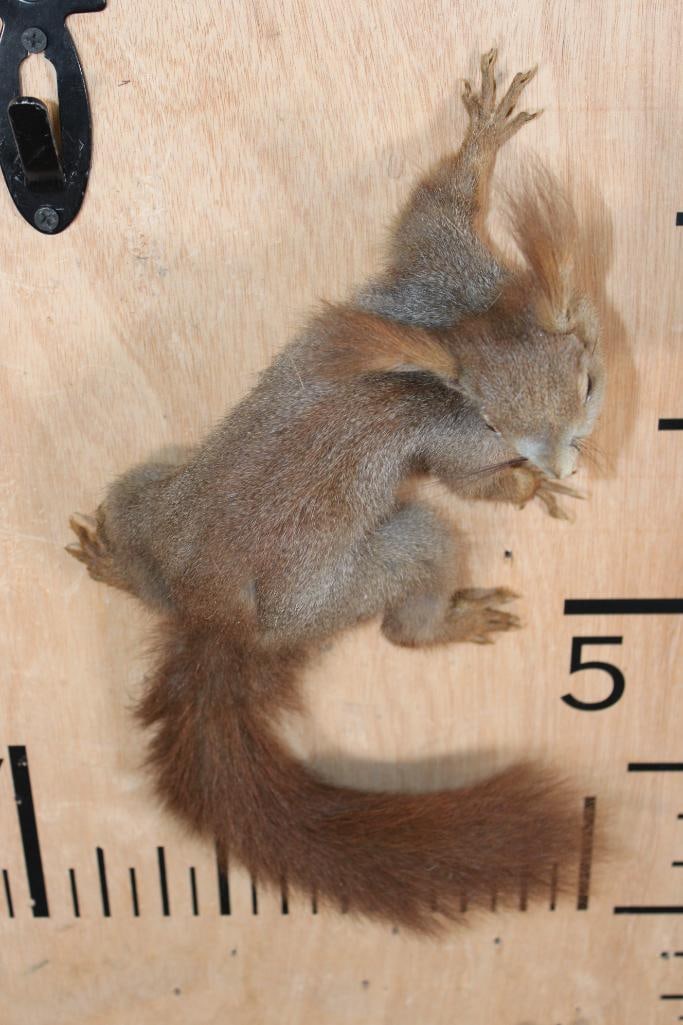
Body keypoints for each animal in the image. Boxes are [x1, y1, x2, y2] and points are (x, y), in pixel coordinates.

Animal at [67, 49, 605, 931]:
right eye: (492, 420)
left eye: (588, 383)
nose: (558, 462)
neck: (464, 319)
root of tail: (219, 620)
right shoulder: (450, 416)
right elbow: (471, 482)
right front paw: (533, 492)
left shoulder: (437, 263)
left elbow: (434, 203)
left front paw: (482, 136)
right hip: (371, 568)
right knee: (403, 611)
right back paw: (447, 621)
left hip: (147, 491)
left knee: (140, 544)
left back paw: (117, 566)